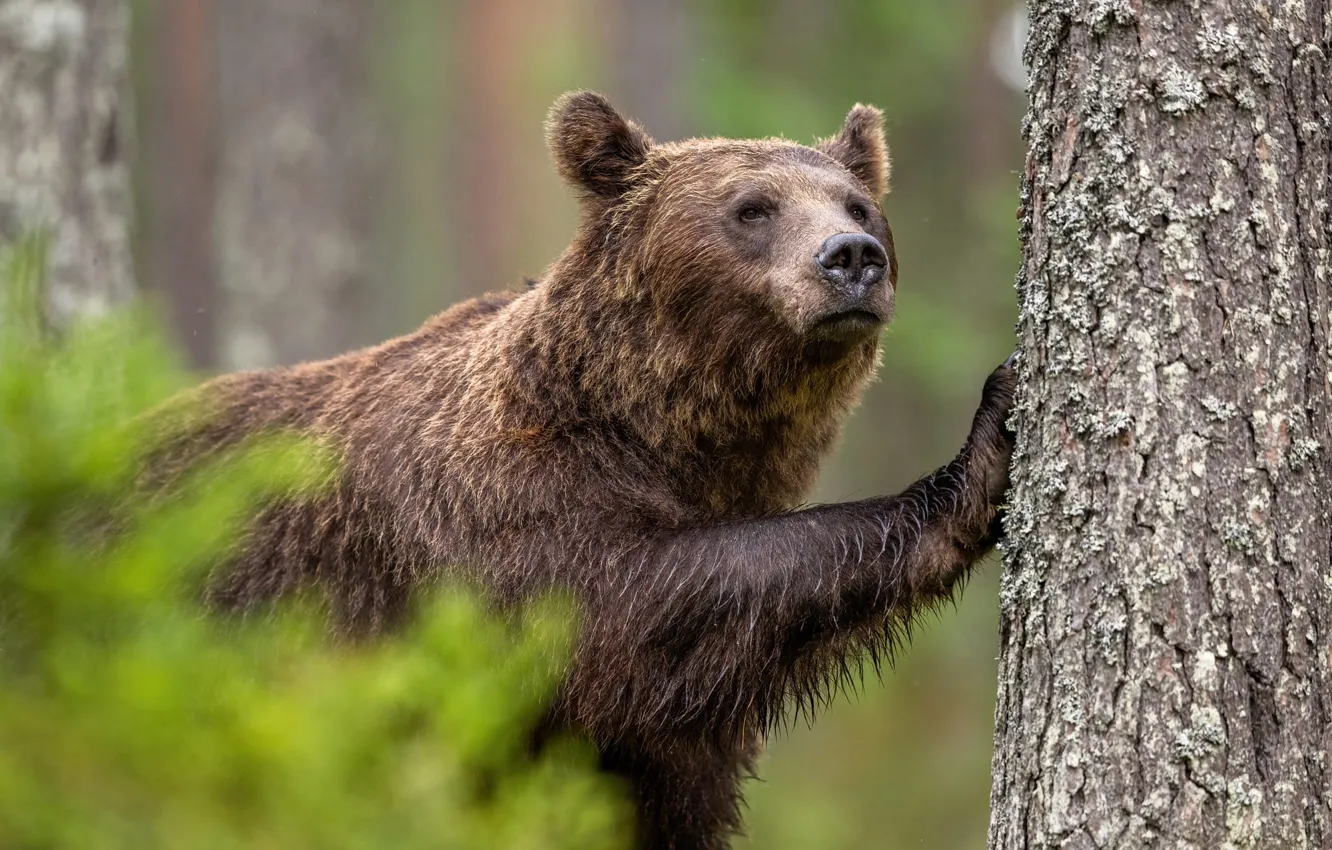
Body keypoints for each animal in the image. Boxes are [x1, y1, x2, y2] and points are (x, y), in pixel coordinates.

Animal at [147, 91, 1017, 850]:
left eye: (857, 205)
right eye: (753, 207)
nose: (851, 259)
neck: (662, 435)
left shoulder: (658, 751)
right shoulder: (505, 519)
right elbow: (641, 609)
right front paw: (983, 447)